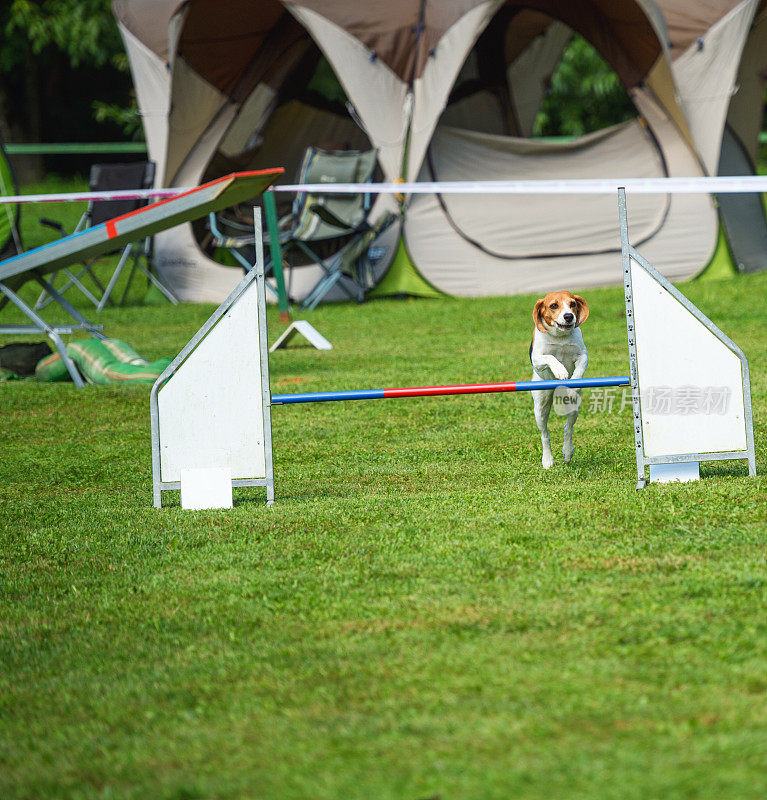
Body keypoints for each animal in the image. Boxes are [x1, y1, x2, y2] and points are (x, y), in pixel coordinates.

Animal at [532, 292, 592, 468]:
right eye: (553, 305)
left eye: (573, 304)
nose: (569, 316)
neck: (560, 337)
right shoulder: (537, 360)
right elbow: (550, 357)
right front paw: (560, 370)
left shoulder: (583, 356)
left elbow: (579, 370)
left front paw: (574, 384)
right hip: (540, 408)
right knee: (545, 434)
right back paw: (547, 460)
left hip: (573, 408)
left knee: (568, 428)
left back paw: (567, 451)